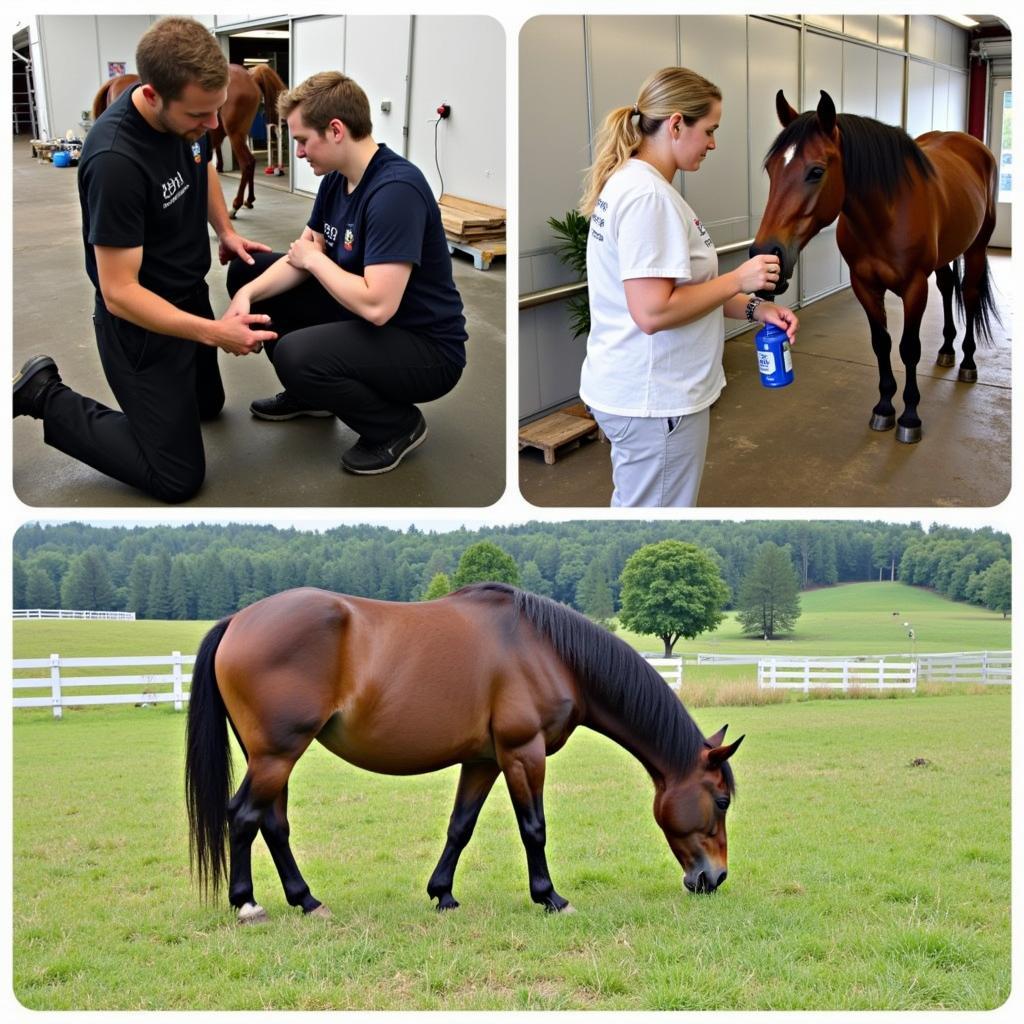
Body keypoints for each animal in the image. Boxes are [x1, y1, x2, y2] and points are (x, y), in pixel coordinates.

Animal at [90, 61, 286, 218]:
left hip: (235, 133)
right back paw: (248, 200)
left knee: (247, 163)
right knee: (249, 163)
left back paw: (235, 206)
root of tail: (249, 75)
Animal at [186, 581, 745, 925]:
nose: (715, 878)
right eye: (721, 801)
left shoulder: (484, 760)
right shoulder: (523, 753)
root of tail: (237, 620)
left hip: (272, 757)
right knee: (243, 816)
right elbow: (533, 828)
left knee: (272, 824)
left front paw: (443, 894)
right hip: (277, 754)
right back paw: (248, 905)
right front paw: (550, 897)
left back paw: (307, 901)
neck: (547, 650)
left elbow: (461, 826)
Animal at [749, 88, 995, 440]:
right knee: (948, 287)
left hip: (976, 248)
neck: (886, 215)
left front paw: (909, 417)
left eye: (816, 171)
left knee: (970, 294)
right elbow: (882, 343)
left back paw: (967, 364)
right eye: (771, 169)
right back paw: (947, 350)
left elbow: (908, 348)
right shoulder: (864, 285)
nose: (766, 252)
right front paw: (884, 408)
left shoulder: (914, 287)